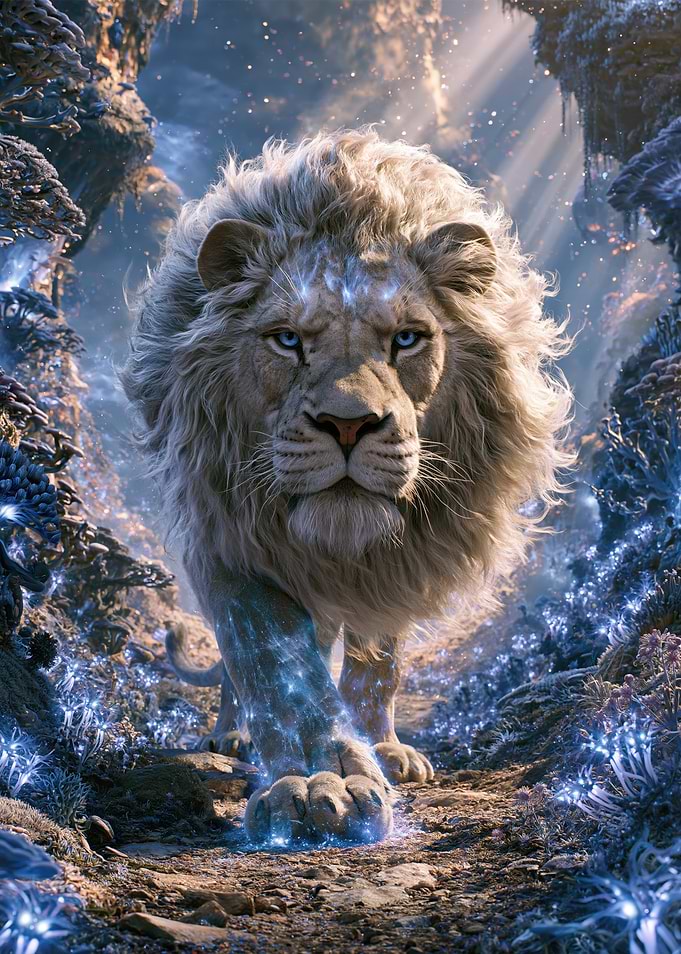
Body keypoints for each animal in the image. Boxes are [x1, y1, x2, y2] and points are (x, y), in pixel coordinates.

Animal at [122, 128, 572, 844]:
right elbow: (279, 671)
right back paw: (232, 739)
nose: (348, 423)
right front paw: (316, 784)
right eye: (286, 340)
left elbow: (378, 662)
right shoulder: (228, 541)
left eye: (407, 339)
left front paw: (381, 750)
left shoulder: (396, 564)